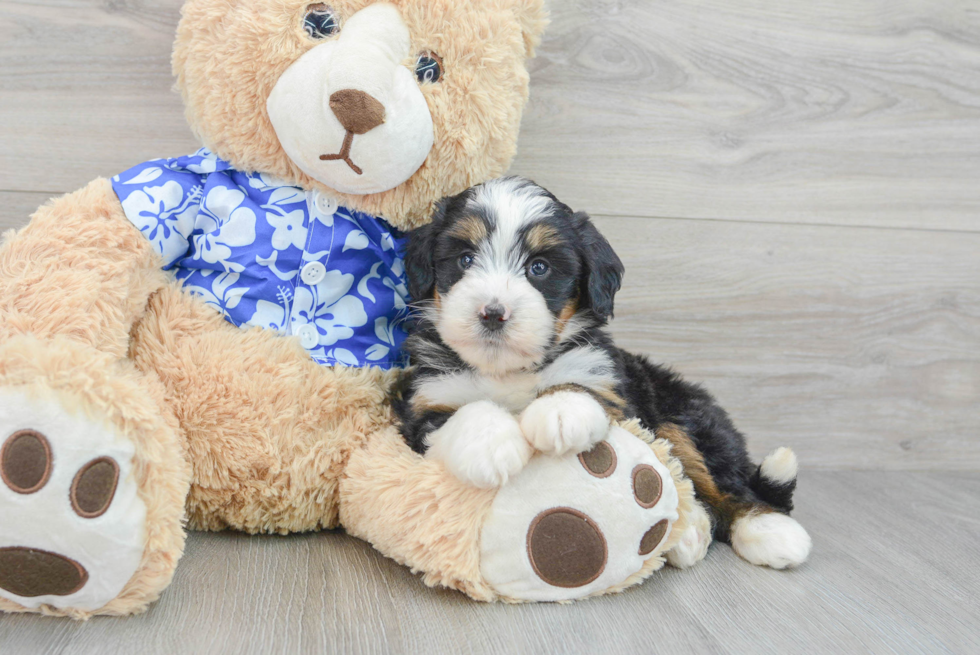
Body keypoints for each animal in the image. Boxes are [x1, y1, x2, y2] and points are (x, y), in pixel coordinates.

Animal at [390, 178, 812, 568]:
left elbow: (581, 385)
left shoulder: (609, 381)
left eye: (539, 268)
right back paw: (691, 532)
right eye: (464, 260)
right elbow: (465, 410)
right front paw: (490, 447)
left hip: (681, 413)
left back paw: (766, 529)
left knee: (719, 478)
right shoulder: (427, 398)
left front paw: (560, 413)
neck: (509, 369)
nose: (493, 313)